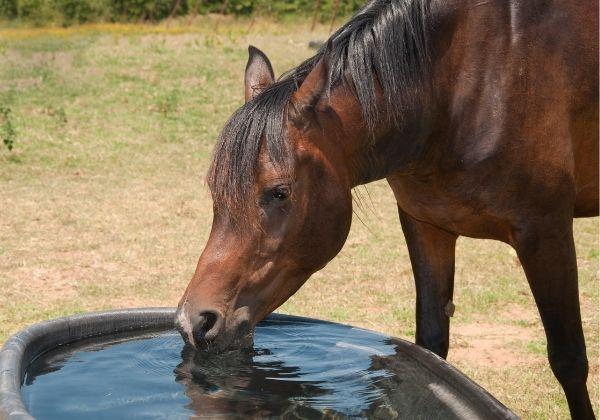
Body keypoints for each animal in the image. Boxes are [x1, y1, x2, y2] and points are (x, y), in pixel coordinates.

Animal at [176, 1, 596, 418]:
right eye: (215, 189)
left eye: (278, 193)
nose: (193, 322)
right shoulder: (426, 225)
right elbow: (429, 348)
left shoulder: (545, 232)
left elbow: (569, 359)